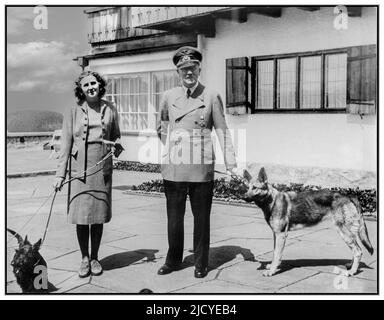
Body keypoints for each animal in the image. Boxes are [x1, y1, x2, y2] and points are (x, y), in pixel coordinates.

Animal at [242, 169, 374, 276]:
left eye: (255, 188)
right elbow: (275, 253)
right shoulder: (276, 234)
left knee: (358, 251)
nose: (243, 197)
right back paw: (350, 266)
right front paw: (273, 266)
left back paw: (351, 272)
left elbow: (277, 254)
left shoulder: (281, 235)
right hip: (348, 234)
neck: (272, 201)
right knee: (356, 250)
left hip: (344, 233)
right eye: (247, 188)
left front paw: (272, 271)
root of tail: (349, 196)